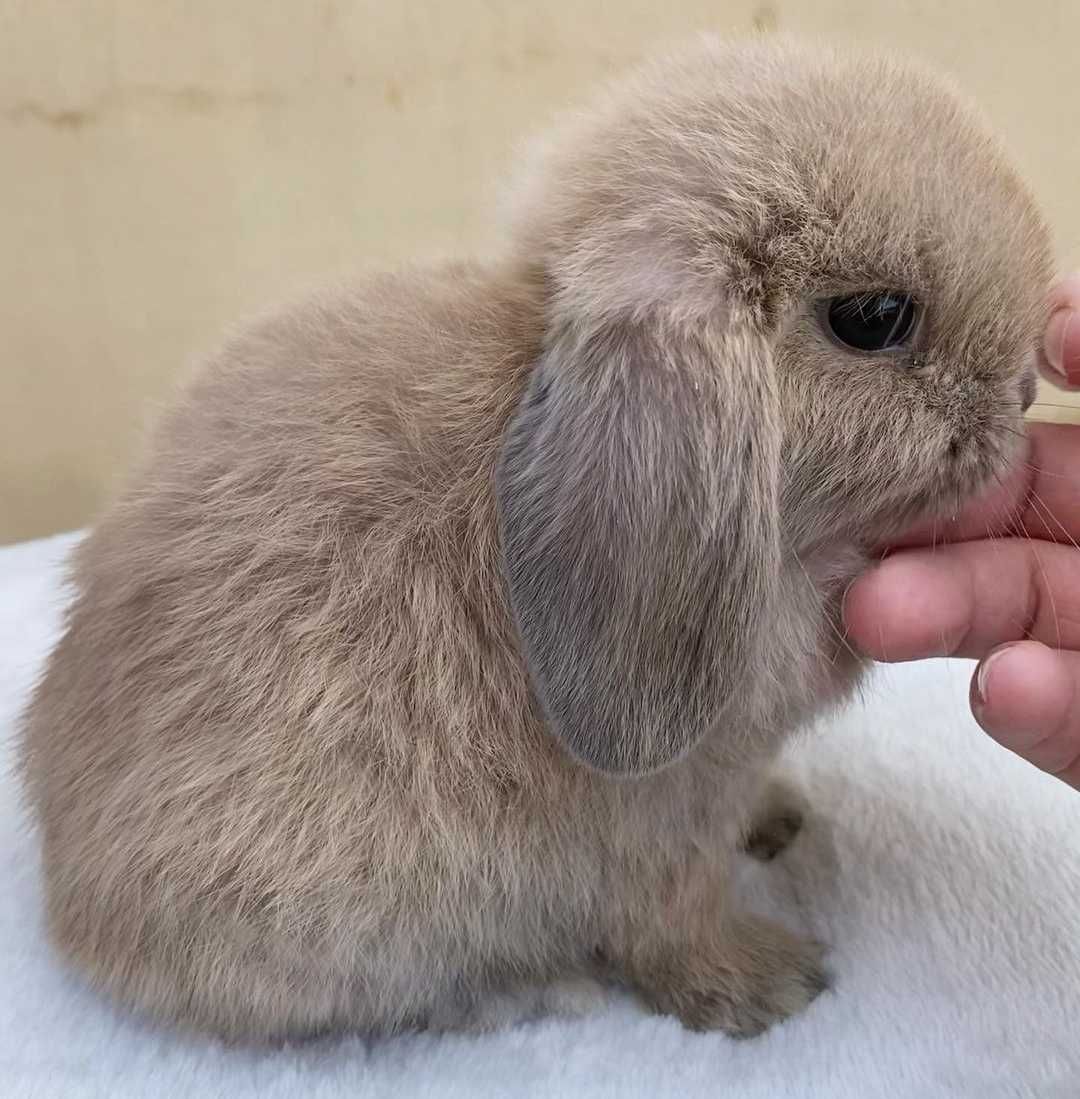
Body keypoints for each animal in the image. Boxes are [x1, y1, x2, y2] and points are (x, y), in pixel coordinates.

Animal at [16, 34, 1050, 1041]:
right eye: (874, 319)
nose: (1024, 392)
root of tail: (77, 920)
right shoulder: (664, 812)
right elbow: (672, 919)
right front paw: (765, 983)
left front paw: (780, 816)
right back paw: (540, 990)